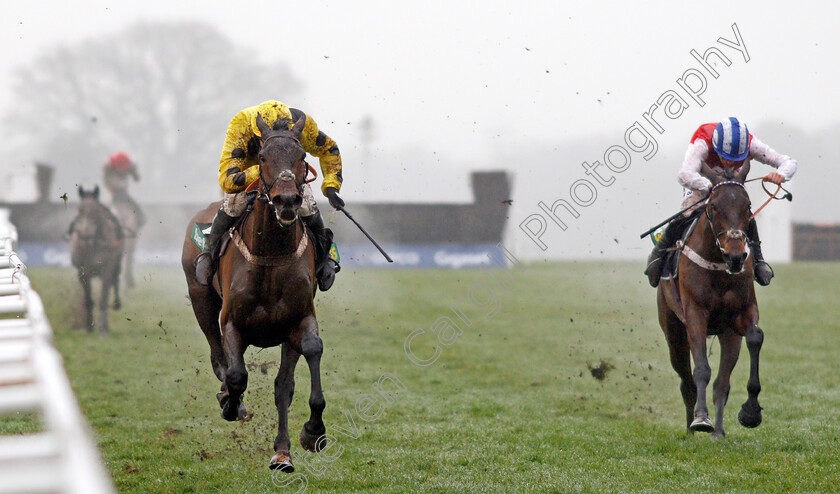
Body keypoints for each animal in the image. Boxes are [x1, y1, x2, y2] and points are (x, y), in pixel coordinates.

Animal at [69, 185, 123, 336]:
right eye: (80, 210)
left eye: (95, 211)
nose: (86, 235)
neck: (93, 244)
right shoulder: (83, 273)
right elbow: (88, 300)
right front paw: (89, 327)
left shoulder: (107, 269)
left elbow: (103, 299)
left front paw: (103, 330)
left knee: (114, 283)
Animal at [182, 113, 326, 470]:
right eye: (262, 157)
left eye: (302, 157)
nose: (287, 201)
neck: (271, 256)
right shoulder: (232, 321)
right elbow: (236, 374)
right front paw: (231, 405)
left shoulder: (298, 320)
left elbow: (301, 365)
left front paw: (308, 434)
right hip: (200, 299)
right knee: (218, 356)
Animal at [660, 164, 764, 438]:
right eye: (714, 206)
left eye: (748, 206)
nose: (736, 256)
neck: (719, 266)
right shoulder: (695, 313)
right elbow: (701, 370)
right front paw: (701, 419)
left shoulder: (741, 313)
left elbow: (755, 337)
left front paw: (751, 412)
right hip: (672, 329)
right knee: (686, 380)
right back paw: (692, 427)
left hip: (728, 335)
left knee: (722, 384)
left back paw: (719, 431)